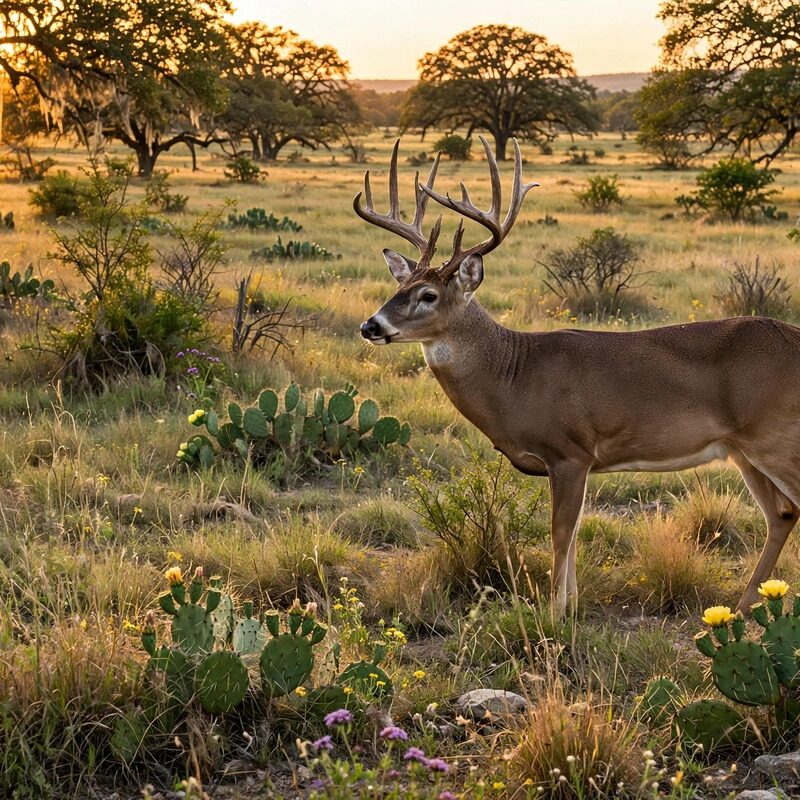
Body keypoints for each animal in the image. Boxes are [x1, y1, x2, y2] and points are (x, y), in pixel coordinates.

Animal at [354, 135, 800, 618]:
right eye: (397, 288)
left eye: (428, 295)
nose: (370, 326)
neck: (513, 376)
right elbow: (570, 535)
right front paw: (568, 609)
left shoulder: (570, 451)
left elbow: (561, 534)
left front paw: (553, 615)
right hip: (743, 449)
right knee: (782, 514)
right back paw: (742, 607)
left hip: (774, 437)